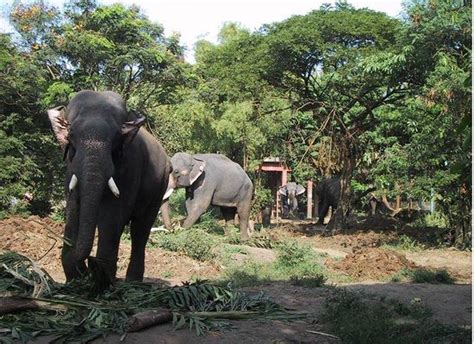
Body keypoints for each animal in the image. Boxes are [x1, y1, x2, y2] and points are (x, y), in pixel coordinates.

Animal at [46, 89, 171, 282]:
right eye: (71, 136)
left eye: (116, 139)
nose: (86, 269)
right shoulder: (70, 167)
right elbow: (73, 209)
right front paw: (75, 279)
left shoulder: (130, 166)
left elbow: (111, 215)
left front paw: (101, 278)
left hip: (159, 187)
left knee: (140, 230)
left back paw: (132, 282)